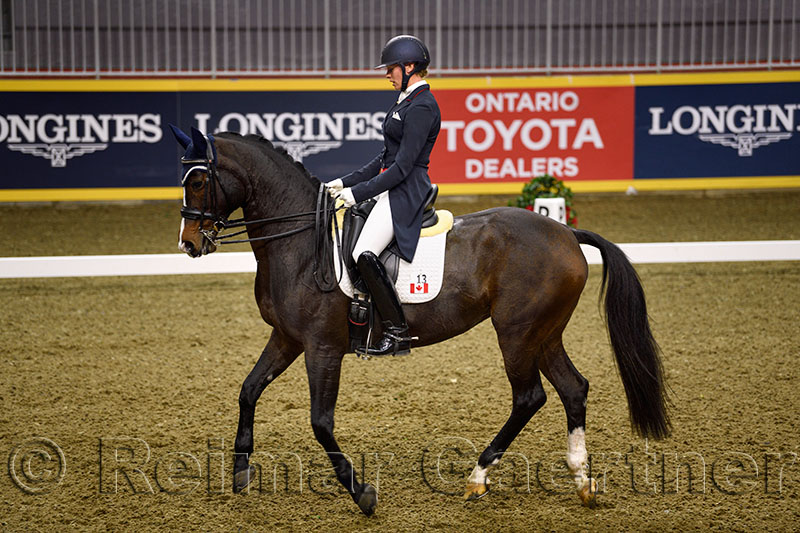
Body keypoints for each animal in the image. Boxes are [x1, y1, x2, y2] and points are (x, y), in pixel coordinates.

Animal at [172, 125, 672, 516]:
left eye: (198, 181)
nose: (189, 244)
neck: (301, 243)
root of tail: (566, 231)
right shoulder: (287, 338)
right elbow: (248, 390)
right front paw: (240, 472)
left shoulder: (322, 347)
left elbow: (320, 423)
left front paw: (363, 495)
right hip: (543, 334)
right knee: (573, 388)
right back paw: (582, 482)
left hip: (517, 333)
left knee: (530, 397)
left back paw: (477, 477)